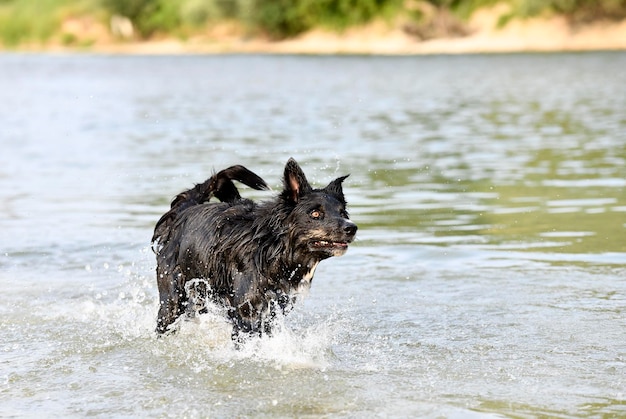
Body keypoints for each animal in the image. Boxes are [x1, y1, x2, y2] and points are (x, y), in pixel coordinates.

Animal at [152, 159, 356, 342]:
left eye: (342, 213)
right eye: (315, 214)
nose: (352, 228)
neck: (272, 250)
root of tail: (183, 211)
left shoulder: (273, 312)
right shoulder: (246, 314)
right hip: (172, 301)